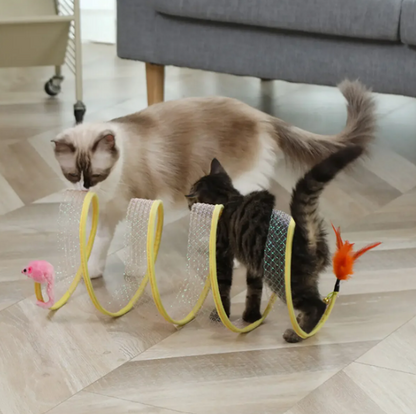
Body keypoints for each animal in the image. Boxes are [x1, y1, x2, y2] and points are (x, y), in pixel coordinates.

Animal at [185, 146, 364, 342]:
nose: (188, 205)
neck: (228, 197)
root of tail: (307, 237)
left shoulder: (222, 257)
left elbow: (223, 288)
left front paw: (220, 315)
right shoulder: (253, 264)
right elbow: (253, 290)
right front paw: (251, 316)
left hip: (289, 283)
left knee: (317, 306)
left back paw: (297, 334)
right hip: (304, 278)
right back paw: (301, 324)